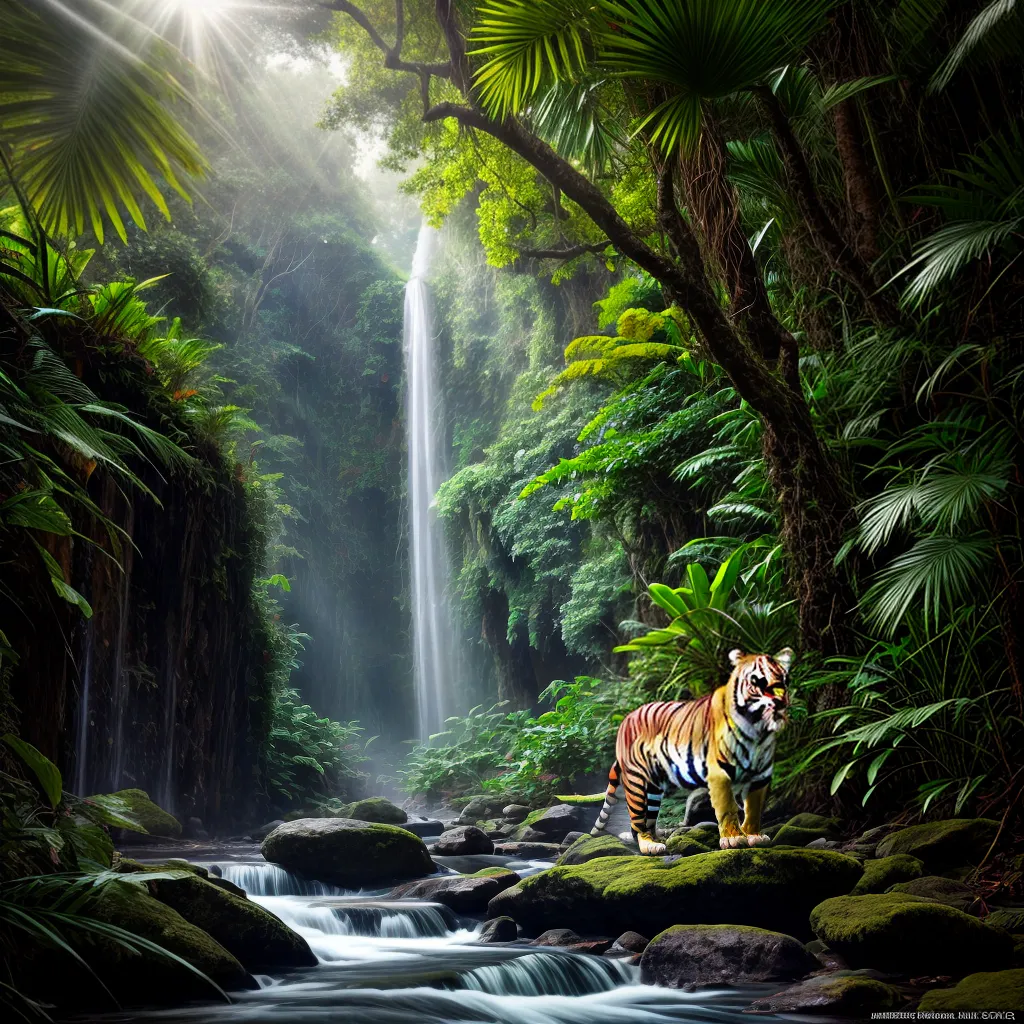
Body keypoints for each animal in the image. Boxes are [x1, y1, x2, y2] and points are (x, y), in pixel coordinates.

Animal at [591, 648, 794, 854]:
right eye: (757, 682)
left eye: (784, 681)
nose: (780, 704)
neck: (757, 730)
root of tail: (625, 720)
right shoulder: (720, 774)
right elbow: (727, 807)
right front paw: (734, 839)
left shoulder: (760, 777)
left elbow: (754, 809)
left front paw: (754, 836)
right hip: (636, 781)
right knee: (639, 820)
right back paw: (650, 845)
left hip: (653, 786)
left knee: (649, 819)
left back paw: (659, 839)